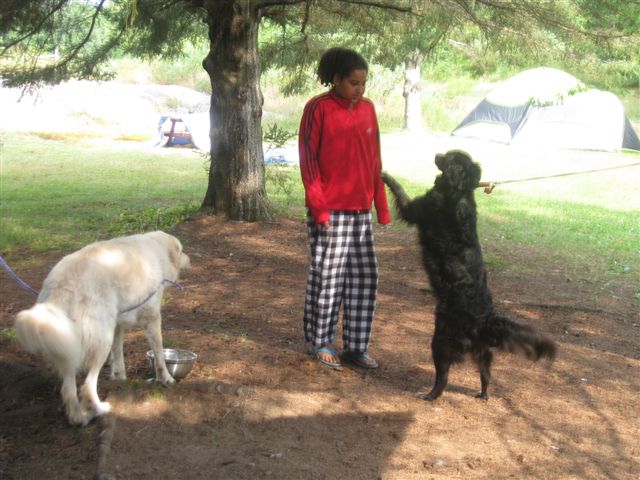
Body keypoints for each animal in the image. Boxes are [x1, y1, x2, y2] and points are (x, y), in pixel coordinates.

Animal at [14, 231, 190, 425]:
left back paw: (78, 418)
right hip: (101, 341)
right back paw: (99, 409)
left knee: (68, 389)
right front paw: (166, 379)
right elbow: (159, 355)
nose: (188, 258)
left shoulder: (117, 325)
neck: (157, 250)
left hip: (69, 344)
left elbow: (119, 356)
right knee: (87, 386)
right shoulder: (151, 318)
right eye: (181, 250)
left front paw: (120, 379)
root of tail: (62, 284)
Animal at [382, 150, 556, 401]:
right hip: (480, 350)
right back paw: (482, 394)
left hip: (441, 340)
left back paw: (429, 395)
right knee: (486, 372)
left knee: (442, 378)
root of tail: (486, 319)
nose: (437, 153)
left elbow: (399, 189)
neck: (459, 190)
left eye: (449, 156)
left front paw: (383, 173)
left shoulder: (417, 209)